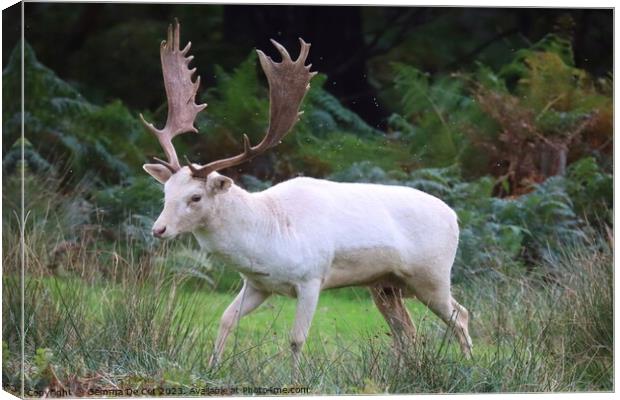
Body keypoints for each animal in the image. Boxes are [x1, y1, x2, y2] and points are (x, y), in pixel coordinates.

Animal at [139, 21, 470, 372]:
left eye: (196, 197)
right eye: (166, 191)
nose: (159, 229)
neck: (268, 238)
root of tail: (454, 216)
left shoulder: (312, 277)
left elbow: (297, 338)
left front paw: (295, 377)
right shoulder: (256, 284)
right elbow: (226, 318)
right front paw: (213, 366)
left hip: (431, 274)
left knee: (460, 315)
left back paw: (468, 365)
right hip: (386, 284)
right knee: (407, 331)